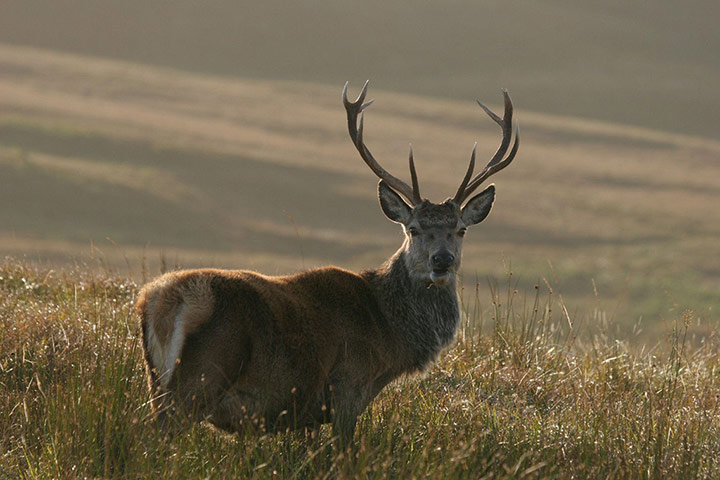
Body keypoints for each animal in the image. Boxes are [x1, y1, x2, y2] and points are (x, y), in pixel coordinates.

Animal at [136, 81, 519, 445]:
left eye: (461, 230)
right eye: (413, 229)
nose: (442, 260)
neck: (388, 333)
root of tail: (159, 302)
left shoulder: (310, 413)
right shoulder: (348, 386)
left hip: (156, 382)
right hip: (201, 378)